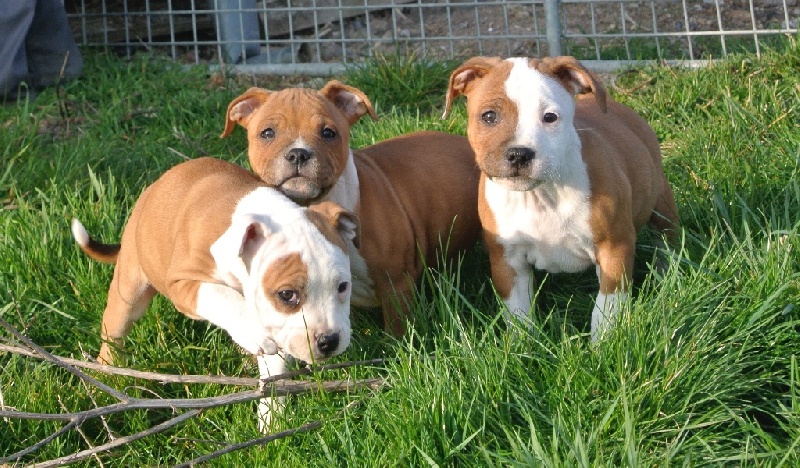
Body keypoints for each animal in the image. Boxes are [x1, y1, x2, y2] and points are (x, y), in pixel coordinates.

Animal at [70, 156, 358, 432]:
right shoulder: (183, 283)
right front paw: (253, 330)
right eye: (287, 295)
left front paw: (272, 418)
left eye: (343, 286)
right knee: (114, 330)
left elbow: (274, 368)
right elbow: (221, 296)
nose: (329, 341)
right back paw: (104, 376)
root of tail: (152, 190)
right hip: (130, 287)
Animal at [444, 55, 680, 340]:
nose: (519, 154)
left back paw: (667, 274)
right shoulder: (507, 261)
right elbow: (518, 312)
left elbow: (607, 307)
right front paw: (525, 345)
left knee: (667, 239)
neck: (541, 195)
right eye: (489, 116)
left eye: (550, 117)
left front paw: (604, 342)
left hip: (661, 200)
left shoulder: (615, 247)